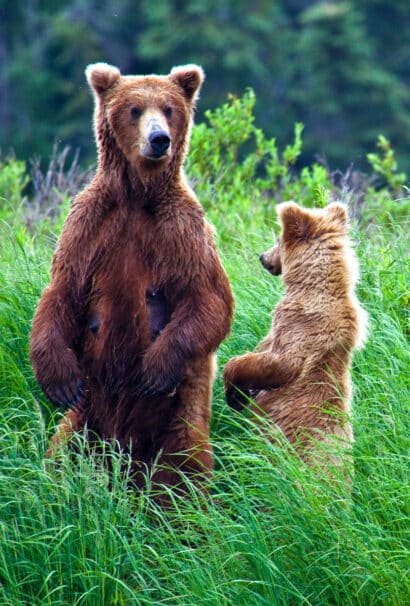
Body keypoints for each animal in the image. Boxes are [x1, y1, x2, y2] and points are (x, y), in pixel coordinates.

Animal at [31, 61, 234, 498]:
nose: (159, 140)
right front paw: (59, 380)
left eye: (169, 109)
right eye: (135, 109)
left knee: (184, 469)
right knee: (61, 453)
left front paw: (155, 369)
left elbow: (208, 299)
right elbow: (61, 292)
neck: (138, 196)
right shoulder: (90, 225)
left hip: (176, 424)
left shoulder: (181, 231)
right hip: (86, 418)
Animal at [224, 203, 368, 470]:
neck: (310, 286)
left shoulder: (301, 326)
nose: (262, 257)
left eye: (277, 239)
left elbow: (278, 363)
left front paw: (235, 394)